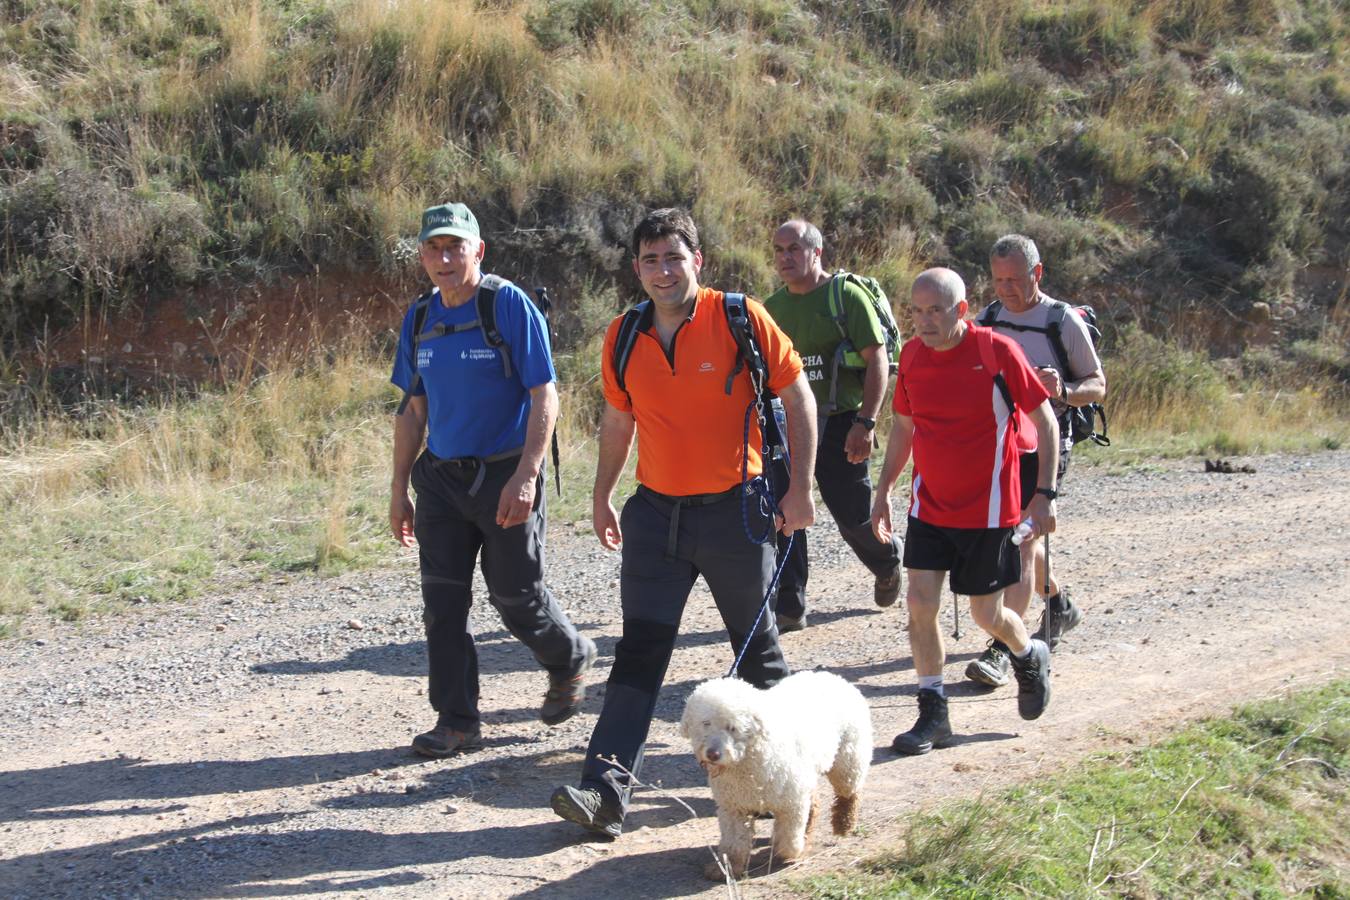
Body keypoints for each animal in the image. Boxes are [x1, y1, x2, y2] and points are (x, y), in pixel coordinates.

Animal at [680, 671, 869, 874]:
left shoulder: (792, 803)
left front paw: (791, 853)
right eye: (705, 723)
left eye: (733, 727)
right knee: (815, 801)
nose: (712, 754)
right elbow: (734, 842)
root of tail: (833, 677)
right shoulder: (734, 806)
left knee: (849, 793)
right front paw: (727, 868)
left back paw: (844, 824)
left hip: (848, 759)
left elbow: (788, 839)